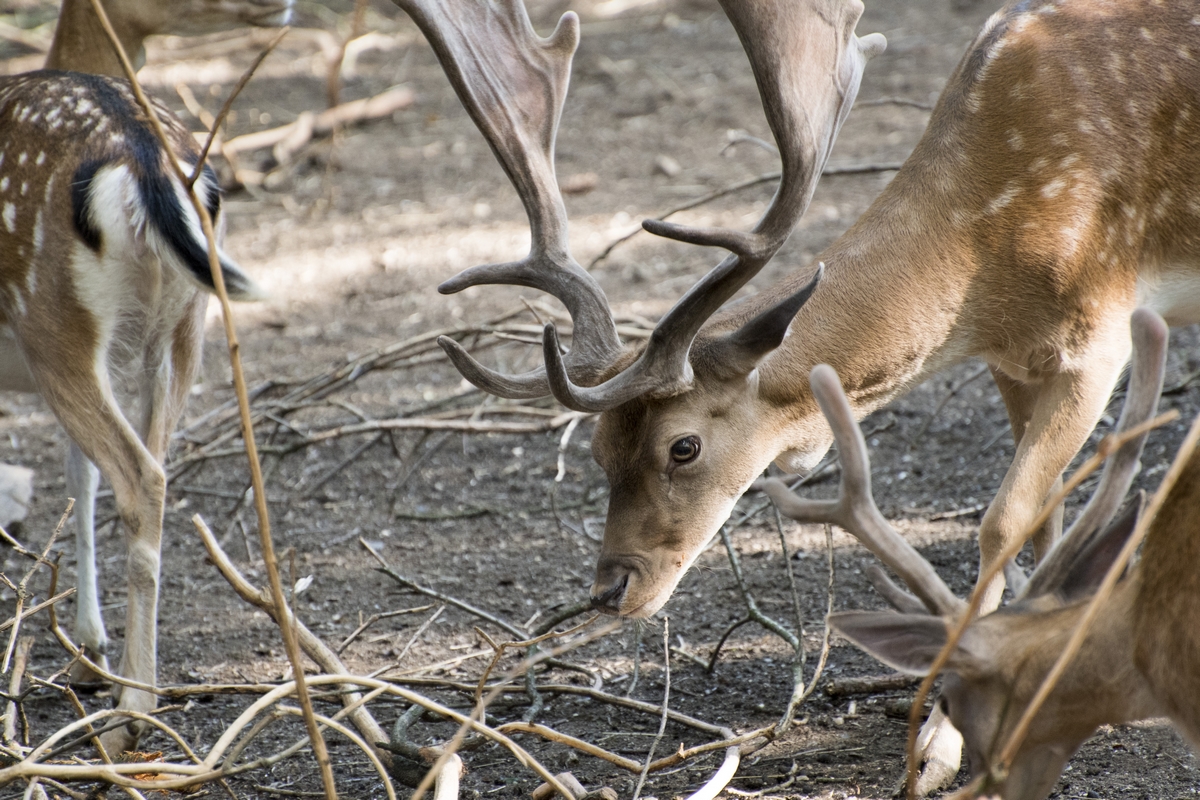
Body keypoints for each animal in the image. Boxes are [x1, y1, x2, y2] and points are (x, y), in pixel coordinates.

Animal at [0, 0, 290, 753]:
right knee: (154, 473)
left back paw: (132, 711)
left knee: (138, 475)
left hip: (52, 321)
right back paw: (140, 693)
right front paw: (89, 647)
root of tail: (142, 157)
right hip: (185, 324)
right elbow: (79, 473)